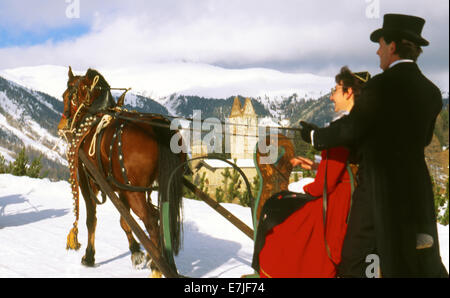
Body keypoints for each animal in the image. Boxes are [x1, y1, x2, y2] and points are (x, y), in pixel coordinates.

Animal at [58, 67, 185, 278]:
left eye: (66, 95)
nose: (62, 126)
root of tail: (157, 126)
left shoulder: (85, 180)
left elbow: (91, 219)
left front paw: (89, 256)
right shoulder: (119, 188)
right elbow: (125, 221)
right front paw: (136, 251)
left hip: (134, 192)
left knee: (151, 221)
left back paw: (157, 267)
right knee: (161, 218)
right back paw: (161, 261)